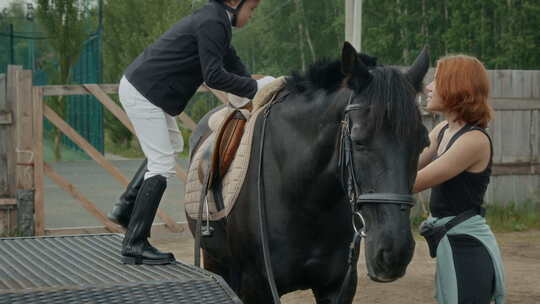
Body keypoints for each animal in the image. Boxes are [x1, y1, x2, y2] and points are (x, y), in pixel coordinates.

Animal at [189, 43, 430, 304]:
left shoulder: (338, 286)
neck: (304, 198)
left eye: (423, 142)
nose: (395, 252)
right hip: (216, 261)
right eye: (358, 141)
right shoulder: (255, 286)